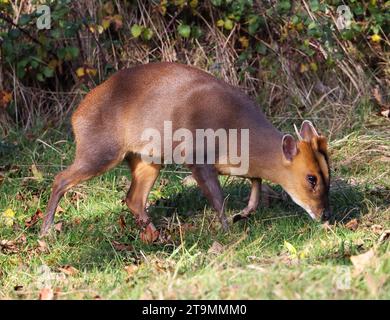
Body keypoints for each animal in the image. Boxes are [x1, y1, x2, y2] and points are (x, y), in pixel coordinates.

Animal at [41, 62, 330, 242]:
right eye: (311, 178)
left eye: (329, 174)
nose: (325, 215)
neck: (239, 133)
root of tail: (76, 116)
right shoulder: (197, 157)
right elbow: (218, 199)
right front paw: (228, 231)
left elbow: (256, 183)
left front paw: (243, 214)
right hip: (100, 150)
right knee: (60, 179)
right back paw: (45, 231)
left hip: (147, 159)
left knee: (133, 198)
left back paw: (156, 236)